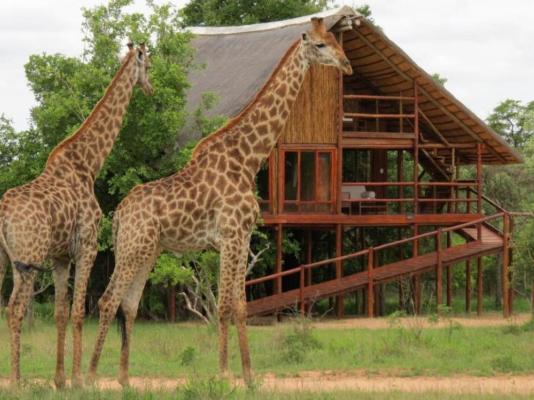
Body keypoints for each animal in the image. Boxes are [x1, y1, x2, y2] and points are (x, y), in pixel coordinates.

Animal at [0, 42, 153, 386]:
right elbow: (79, 312)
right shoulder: (87, 247)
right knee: (15, 310)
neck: (89, 164)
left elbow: (60, 312)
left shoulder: (60, 256)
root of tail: (2, 212)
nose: (151, 88)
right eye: (148, 66)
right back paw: (16, 382)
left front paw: (60, 380)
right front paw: (80, 380)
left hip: (6, 260)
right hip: (28, 258)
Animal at [87, 18, 354, 388]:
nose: (347, 64)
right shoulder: (229, 236)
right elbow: (224, 305)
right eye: (319, 45)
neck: (247, 159)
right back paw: (88, 377)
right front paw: (225, 373)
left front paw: (250, 377)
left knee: (128, 304)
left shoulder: (243, 238)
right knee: (108, 299)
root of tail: (119, 215)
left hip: (146, 251)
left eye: (333, 39)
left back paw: (125, 381)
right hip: (131, 248)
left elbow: (240, 305)